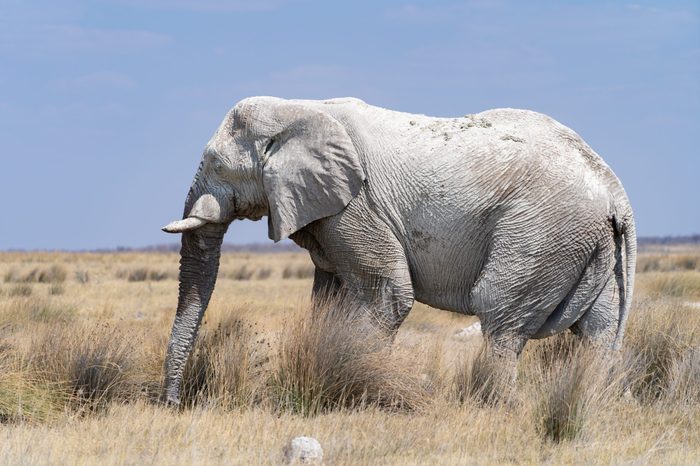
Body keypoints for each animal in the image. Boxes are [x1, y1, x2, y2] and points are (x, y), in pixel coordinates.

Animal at [161, 97, 636, 404]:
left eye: (218, 165)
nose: (173, 404)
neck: (299, 108)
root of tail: (615, 192)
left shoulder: (356, 205)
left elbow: (389, 294)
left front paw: (364, 391)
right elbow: (330, 298)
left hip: (541, 230)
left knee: (501, 318)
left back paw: (493, 407)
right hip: (587, 243)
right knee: (598, 331)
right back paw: (595, 401)